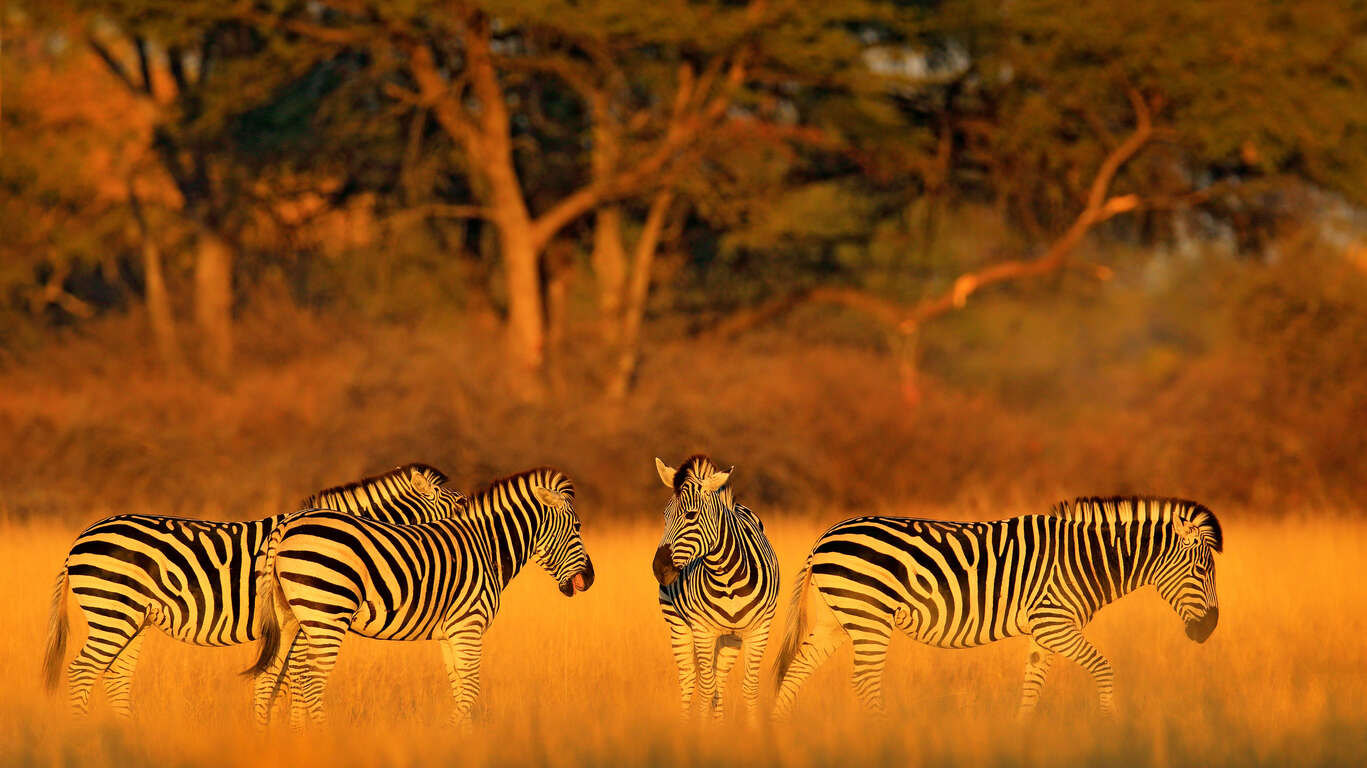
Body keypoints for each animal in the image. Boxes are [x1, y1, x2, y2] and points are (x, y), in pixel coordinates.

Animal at [39, 459, 467, 716]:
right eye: (462, 504)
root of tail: (81, 537)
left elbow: (279, 684)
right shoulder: (302, 627)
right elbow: (292, 685)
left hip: (133, 618)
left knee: (115, 676)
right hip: (114, 610)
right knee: (82, 672)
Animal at [244, 464, 593, 727]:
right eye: (577, 527)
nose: (590, 579)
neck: (486, 546)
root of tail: (286, 525)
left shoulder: (450, 633)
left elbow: (459, 688)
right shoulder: (469, 625)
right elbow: (471, 689)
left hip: (288, 617)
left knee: (268, 678)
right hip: (327, 611)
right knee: (311, 682)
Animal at [650, 453, 781, 716]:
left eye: (690, 515)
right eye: (664, 516)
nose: (659, 569)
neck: (728, 580)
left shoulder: (760, 629)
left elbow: (748, 688)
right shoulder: (702, 630)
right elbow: (705, 688)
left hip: (731, 637)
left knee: (719, 679)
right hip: (677, 624)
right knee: (690, 679)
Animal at [776, 491, 1224, 716]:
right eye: (1202, 570)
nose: (1209, 630)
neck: (1086, 560)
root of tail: (824, 538)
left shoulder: (1045, 632)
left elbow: (1033, 685)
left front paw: (1022, 736)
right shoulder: (1054, 624)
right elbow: (1104, 669)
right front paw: (1108, 726)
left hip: (836, 620)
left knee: (795, 672)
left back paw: (777, 734)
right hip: (868, 617)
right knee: (864, 682)